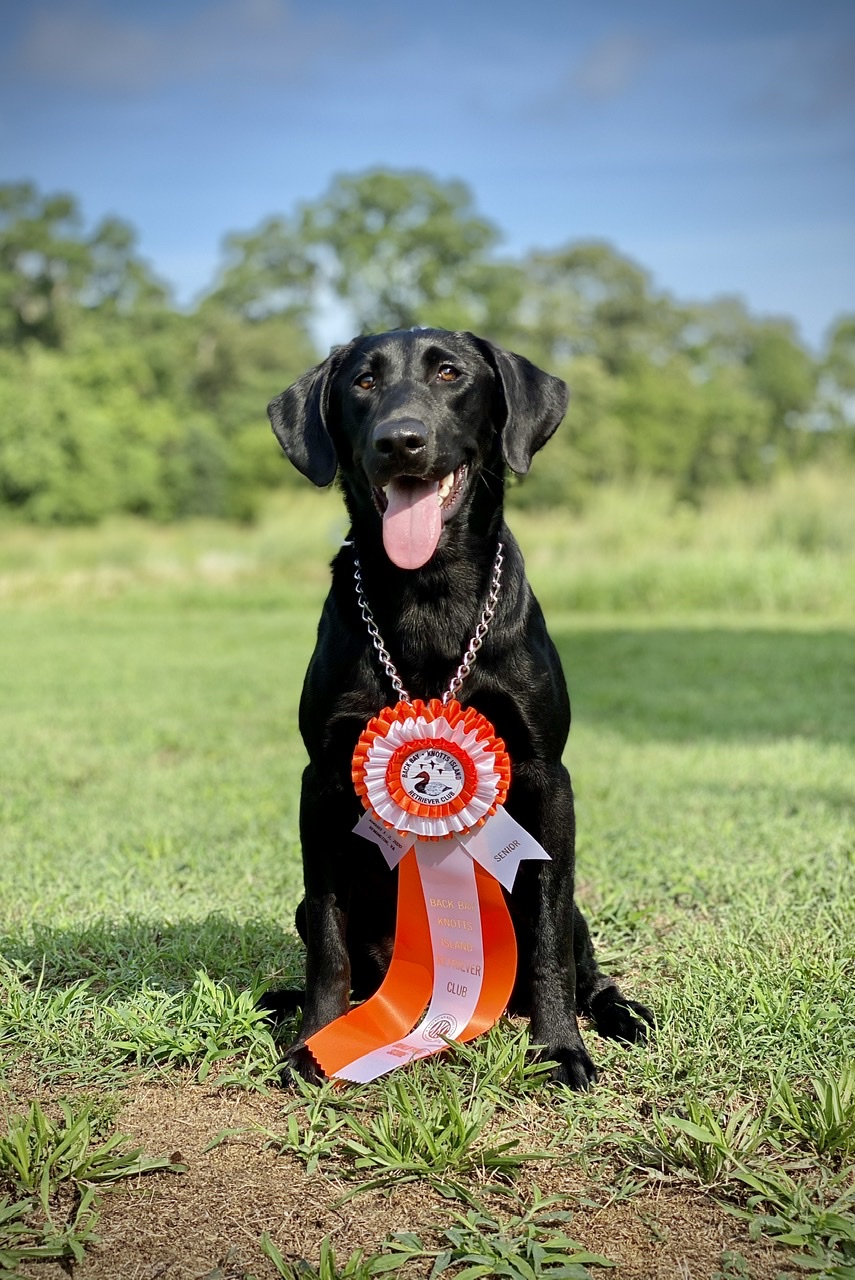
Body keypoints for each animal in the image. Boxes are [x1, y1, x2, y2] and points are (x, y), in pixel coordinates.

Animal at [263, 325, 650, 1085]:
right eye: (363, 382)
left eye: (449, 374)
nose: (400, 441)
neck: (429, 593)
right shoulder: (320, 782)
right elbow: (327, 936)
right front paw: (314, 1044)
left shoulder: (544, 774)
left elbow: (547, 935)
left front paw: (560, 1048)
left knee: (584, 964)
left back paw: (622, 1015)